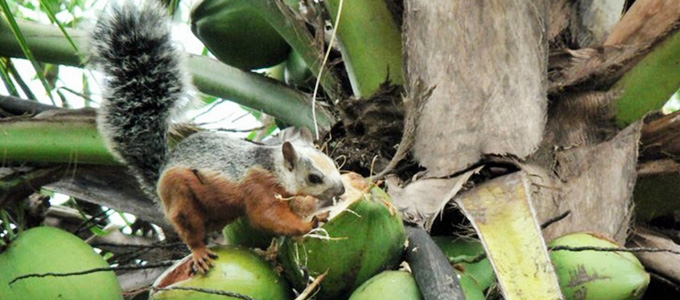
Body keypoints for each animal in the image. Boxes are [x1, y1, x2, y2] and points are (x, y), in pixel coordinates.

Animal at [89, 0, 346, 274]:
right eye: (314, 177)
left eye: (333, 164)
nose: (341, 188)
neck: (272, 167)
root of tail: (160, 175)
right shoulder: (258, 188)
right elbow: (268, 217)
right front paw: (310, 223)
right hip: (179, 197)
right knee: (190, 230)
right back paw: (199, 252)